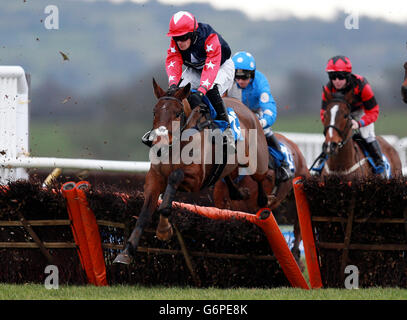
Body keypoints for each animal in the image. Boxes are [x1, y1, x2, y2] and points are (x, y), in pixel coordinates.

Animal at [114, 80, 270, 264]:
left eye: (177, 113)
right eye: (154, 112)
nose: (158, 145)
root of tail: (246, 109)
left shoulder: (195, 180)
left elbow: (175, 177)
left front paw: (164, 229)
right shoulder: (154, 178)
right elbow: (145, 214)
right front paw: (127, 252)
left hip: (257, 163)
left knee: (260, 178)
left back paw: (263, 201)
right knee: (226, 176)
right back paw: (239, 193)